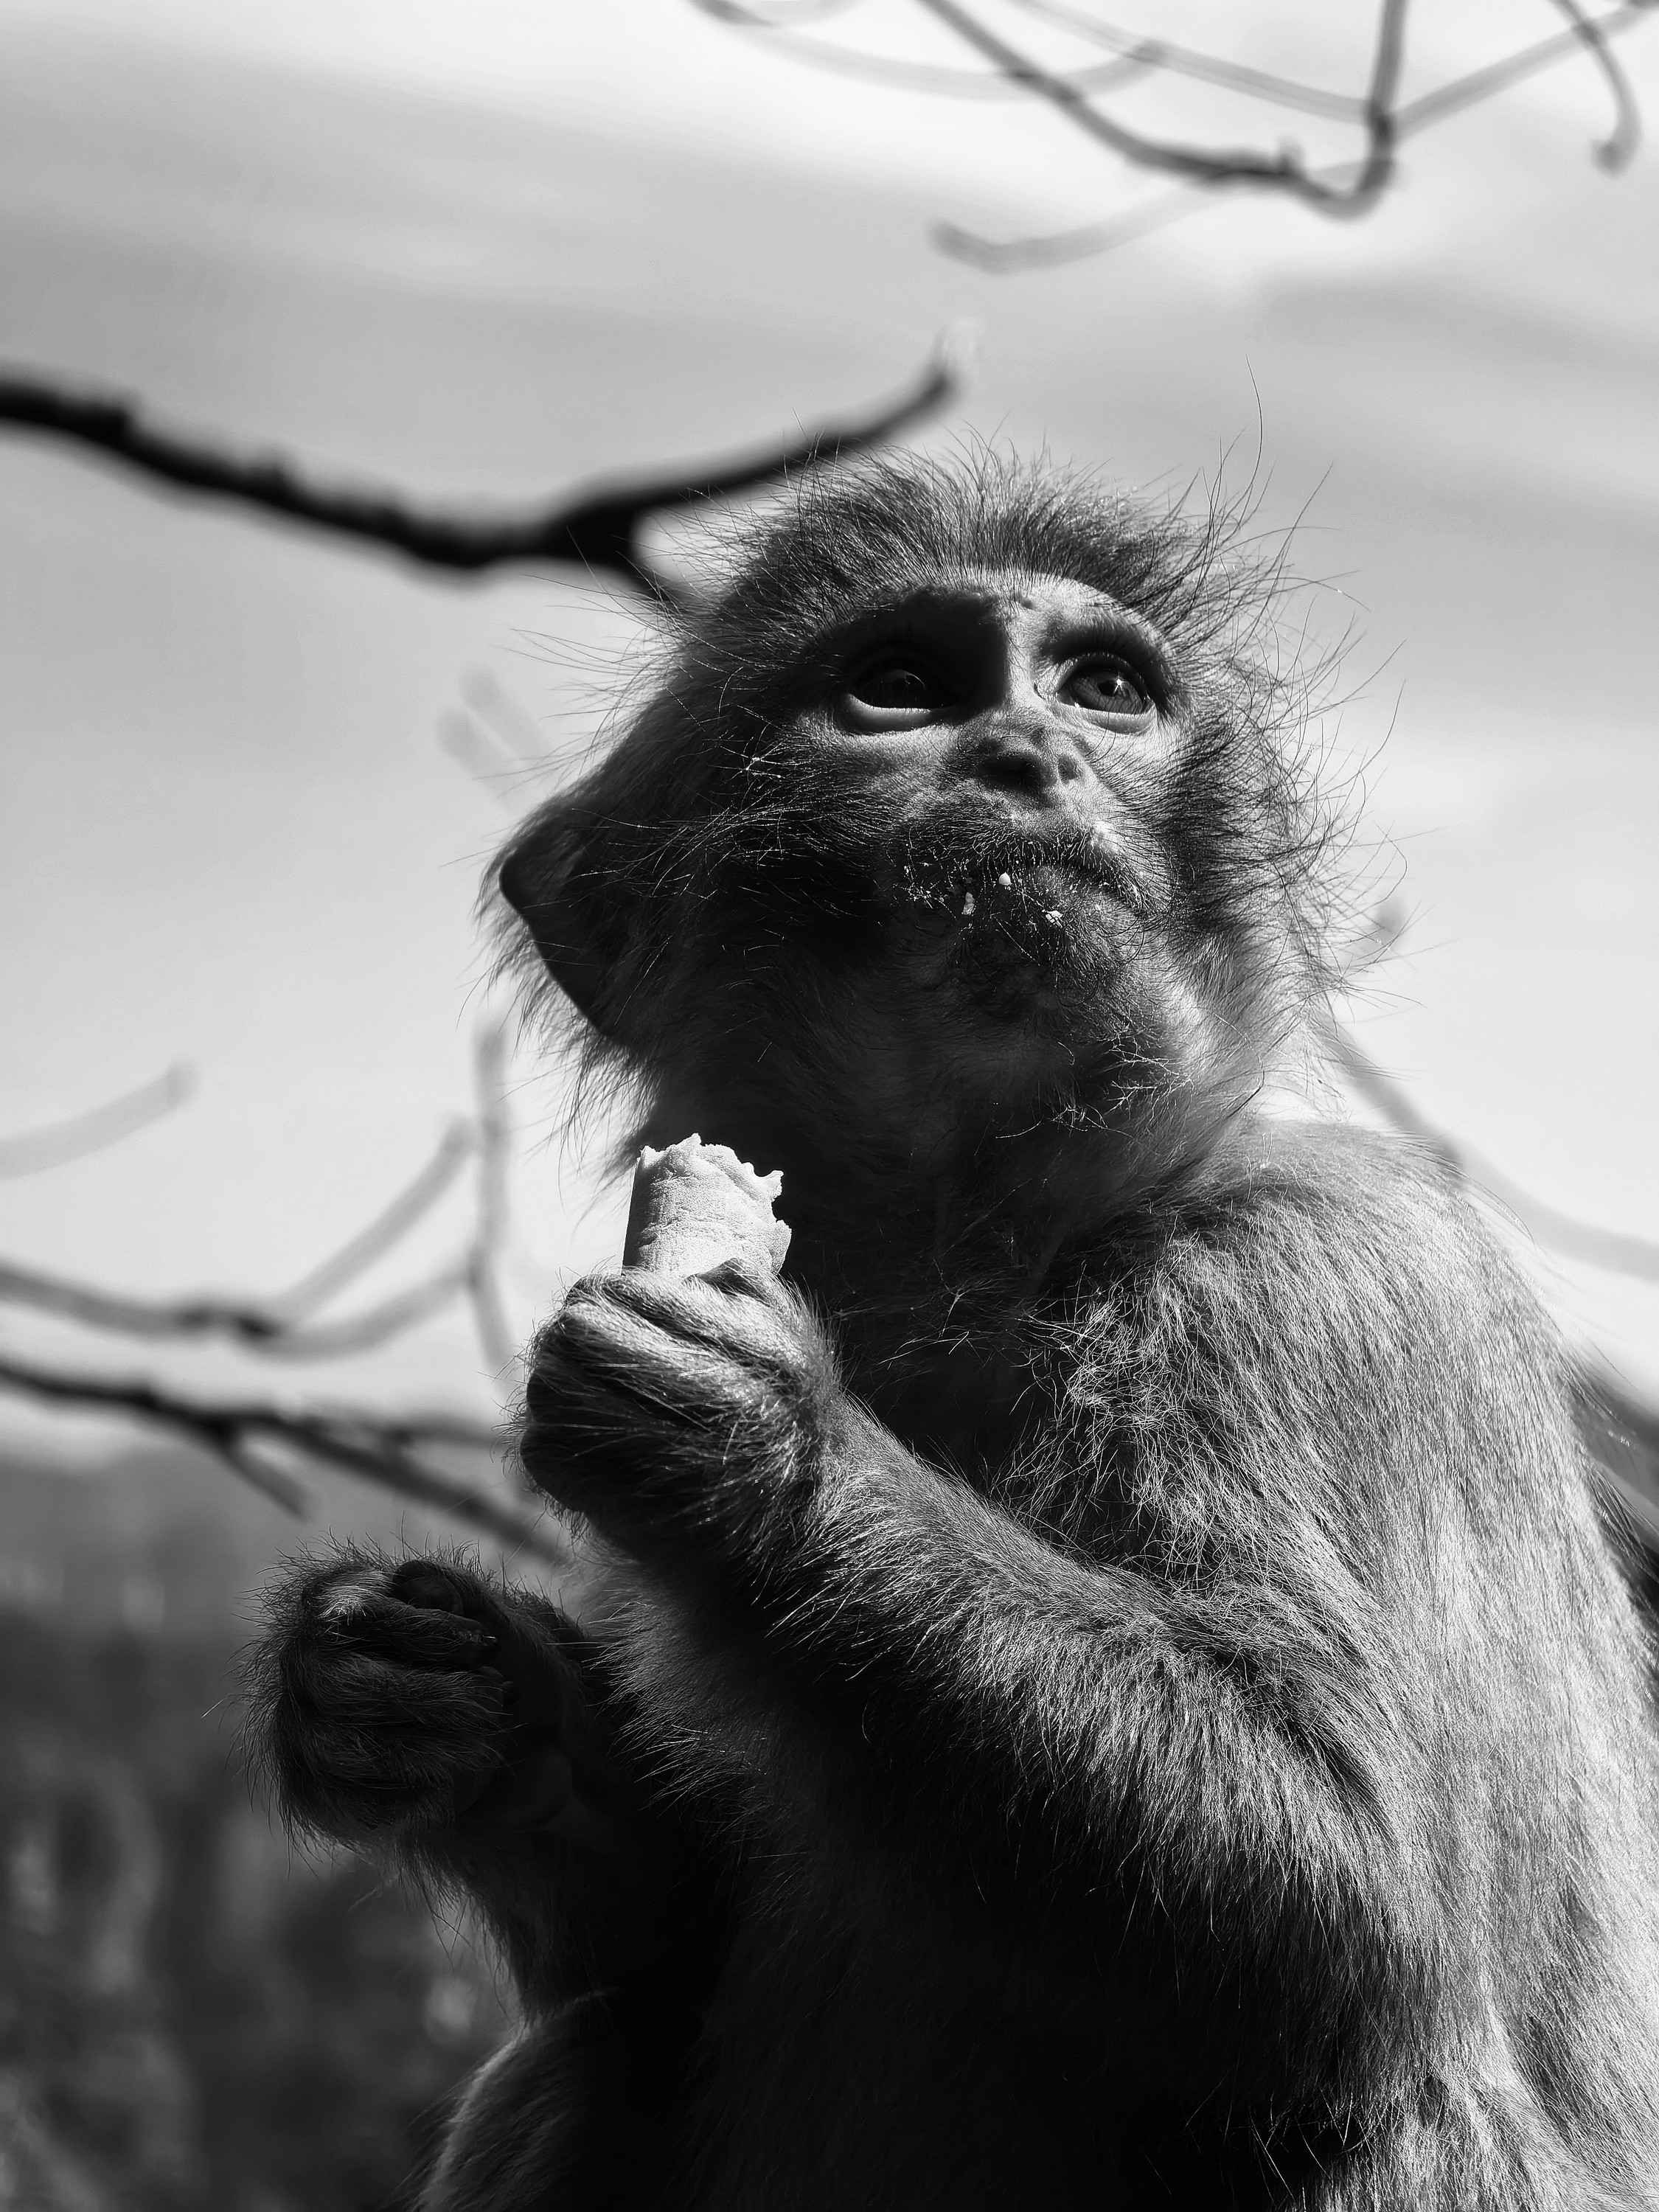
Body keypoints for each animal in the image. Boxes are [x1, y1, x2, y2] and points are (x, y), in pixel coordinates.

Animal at [248, 454, 1659, 2210]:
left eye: (1105, 689)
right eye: (906, 685)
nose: (1032, 752)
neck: (1007, 1265)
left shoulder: (1318, 1283)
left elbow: (1351, 1919)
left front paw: (758, 1458)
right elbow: (670, 1937)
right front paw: (445, 1699)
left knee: (1373, 2105)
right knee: (598, 2047)